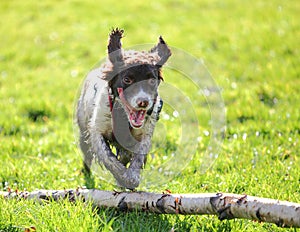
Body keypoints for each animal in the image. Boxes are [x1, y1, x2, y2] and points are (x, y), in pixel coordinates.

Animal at [77, 28, 171, 189]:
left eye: (152, 80)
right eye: (127, 79)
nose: (143, 102)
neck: (123, 116)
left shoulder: (144, 135)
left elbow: (138, 156)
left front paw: (131, 177)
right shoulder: (96, 131)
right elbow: (108, 157)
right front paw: (122, 177)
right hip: (83, 130)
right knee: (87, 155)